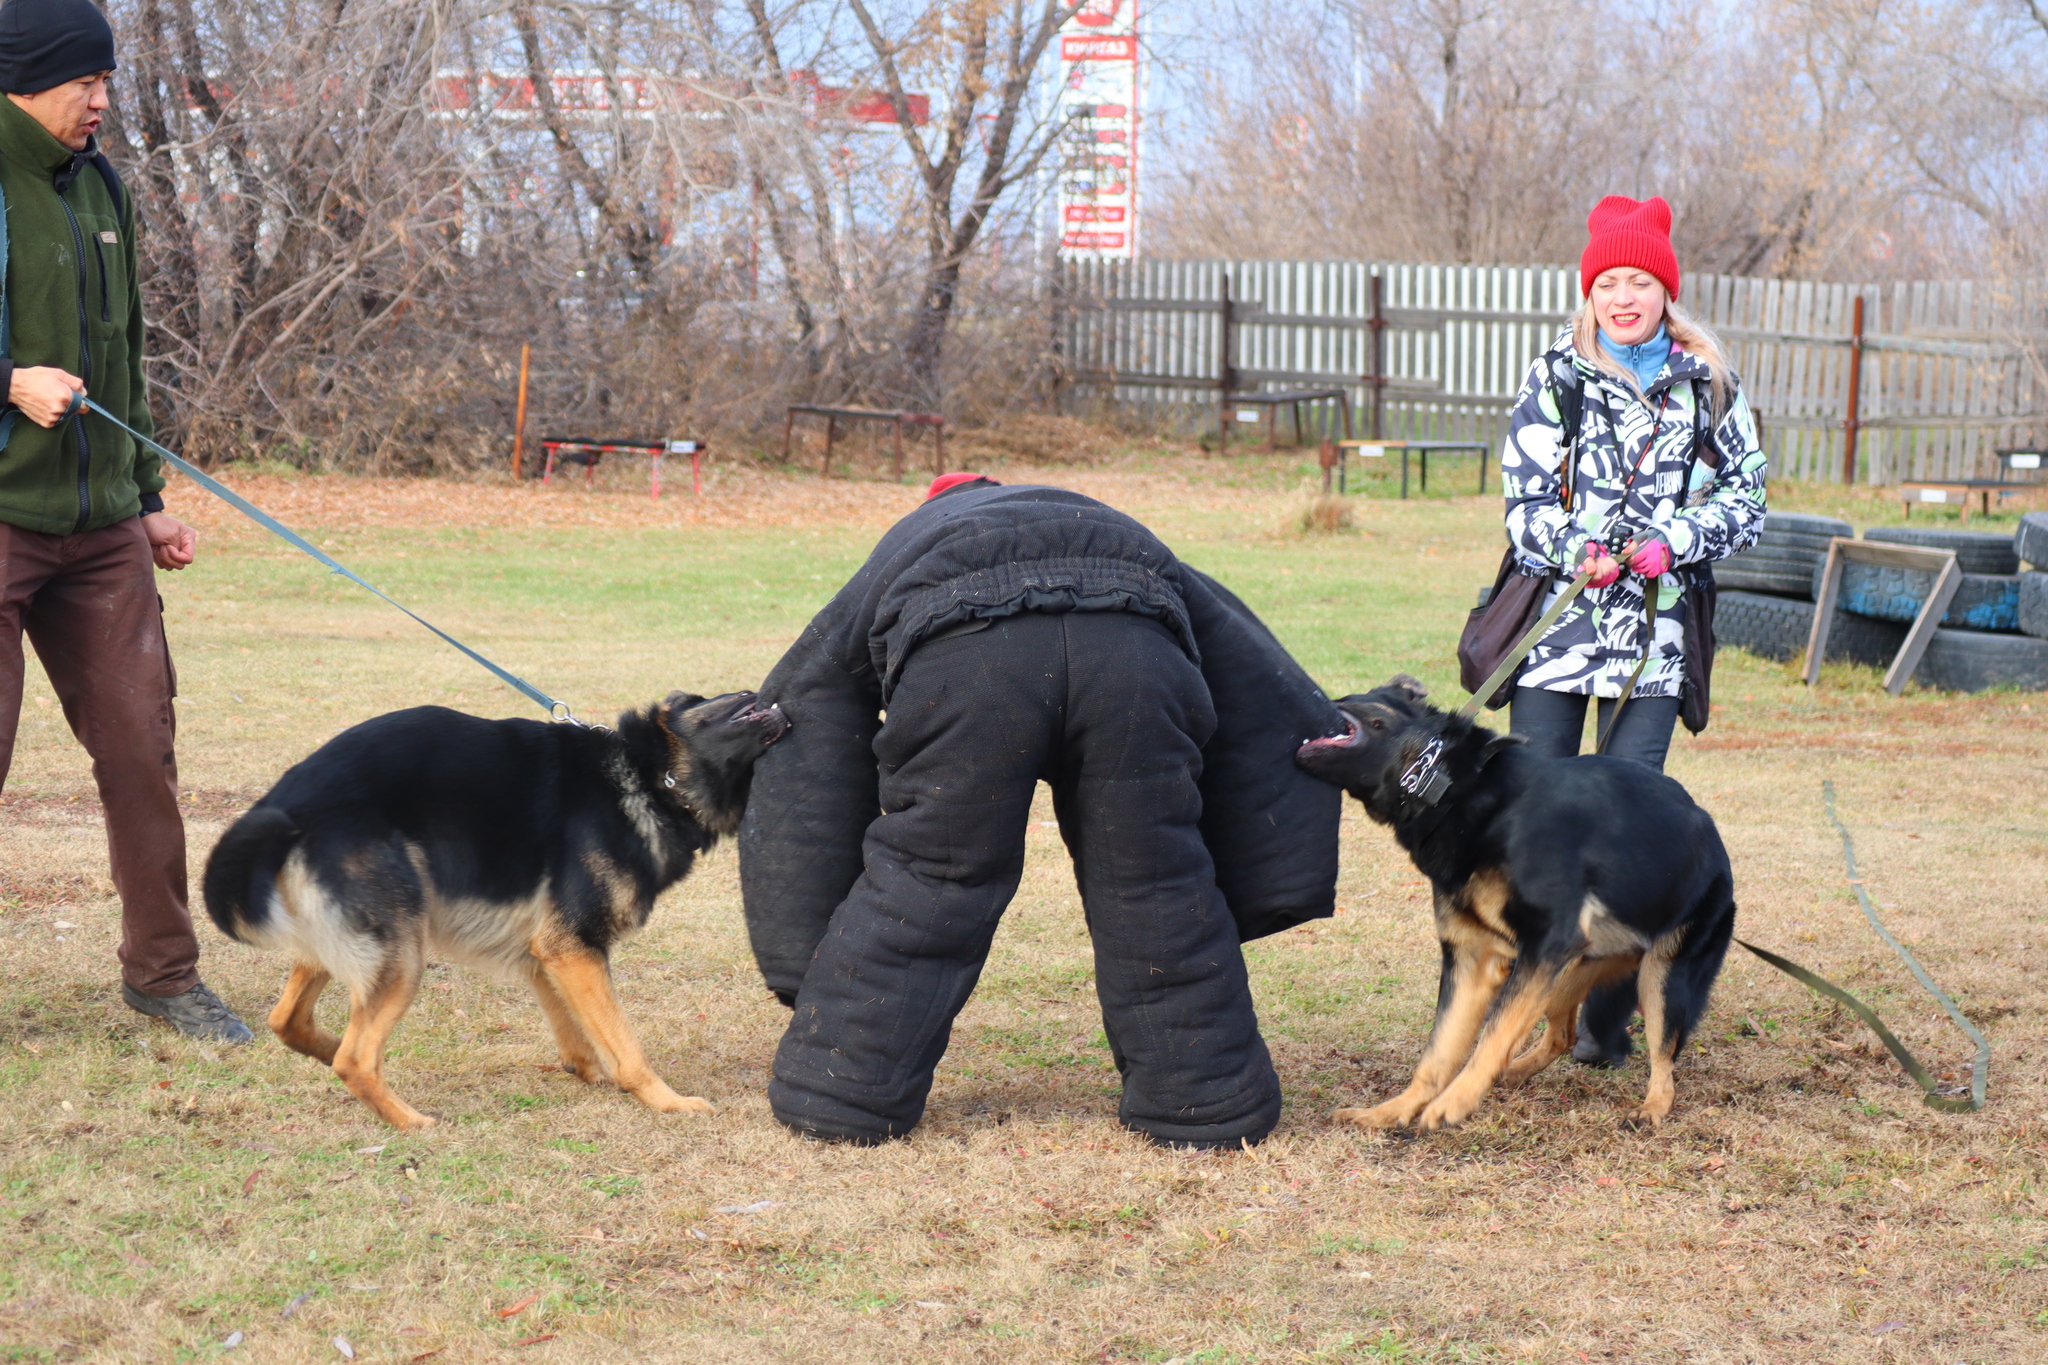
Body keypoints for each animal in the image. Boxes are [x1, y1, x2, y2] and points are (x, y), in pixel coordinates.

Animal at [203, 695, 786, 1129]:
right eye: (741, 697)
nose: (778, 701)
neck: (648, 776)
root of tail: (287, 803)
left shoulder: (548, 954)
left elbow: (577, 1029)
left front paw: (590, 1072)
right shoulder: (574, 948)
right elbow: (626, 1042)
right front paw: (665, 1100)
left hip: (346, 941)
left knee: (290, 1020)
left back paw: (330, 1055)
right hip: (402, 951)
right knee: (356, 1057)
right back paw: (411, 1120)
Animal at [1294, 675, 1728, 1129]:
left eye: (1344, 700)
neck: (1445, 783)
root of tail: (1712, 834)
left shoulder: (1544, 945)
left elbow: (1494, 1032)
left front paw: (1454, 1102)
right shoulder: (1474, 960)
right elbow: (1439, 1052)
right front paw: (1393, 1111)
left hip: (1660, 978)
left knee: (1665, 1056)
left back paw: (1652, 1107)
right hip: (1566, 974)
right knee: (1561, 1036)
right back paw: (1514, 1071)